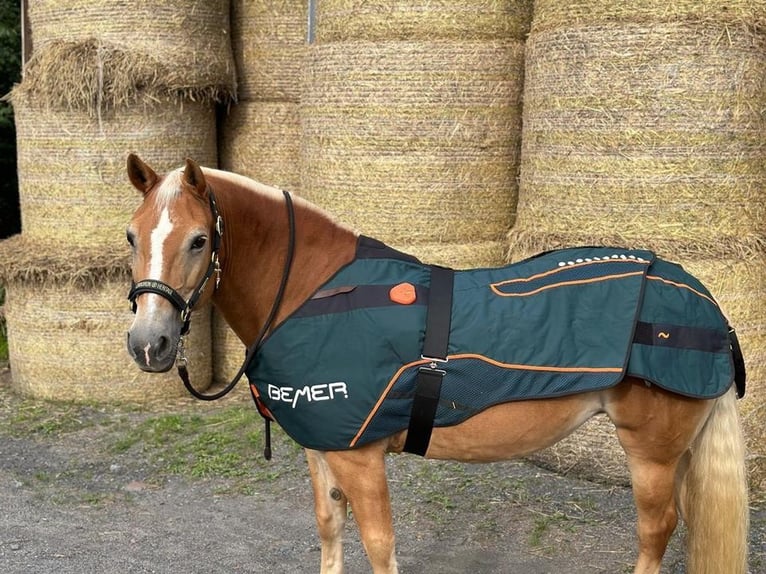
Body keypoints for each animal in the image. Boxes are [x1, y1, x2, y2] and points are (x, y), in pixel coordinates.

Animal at [124, 154, 749, 574]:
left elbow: (379, 545)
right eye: (131, 236)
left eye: (199, 240)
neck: (310, 292)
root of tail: (706, 302)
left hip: (650, 453)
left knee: (657, 528)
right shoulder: (323, 448)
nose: (149, 342)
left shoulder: (360, 458)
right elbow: (330, 529)